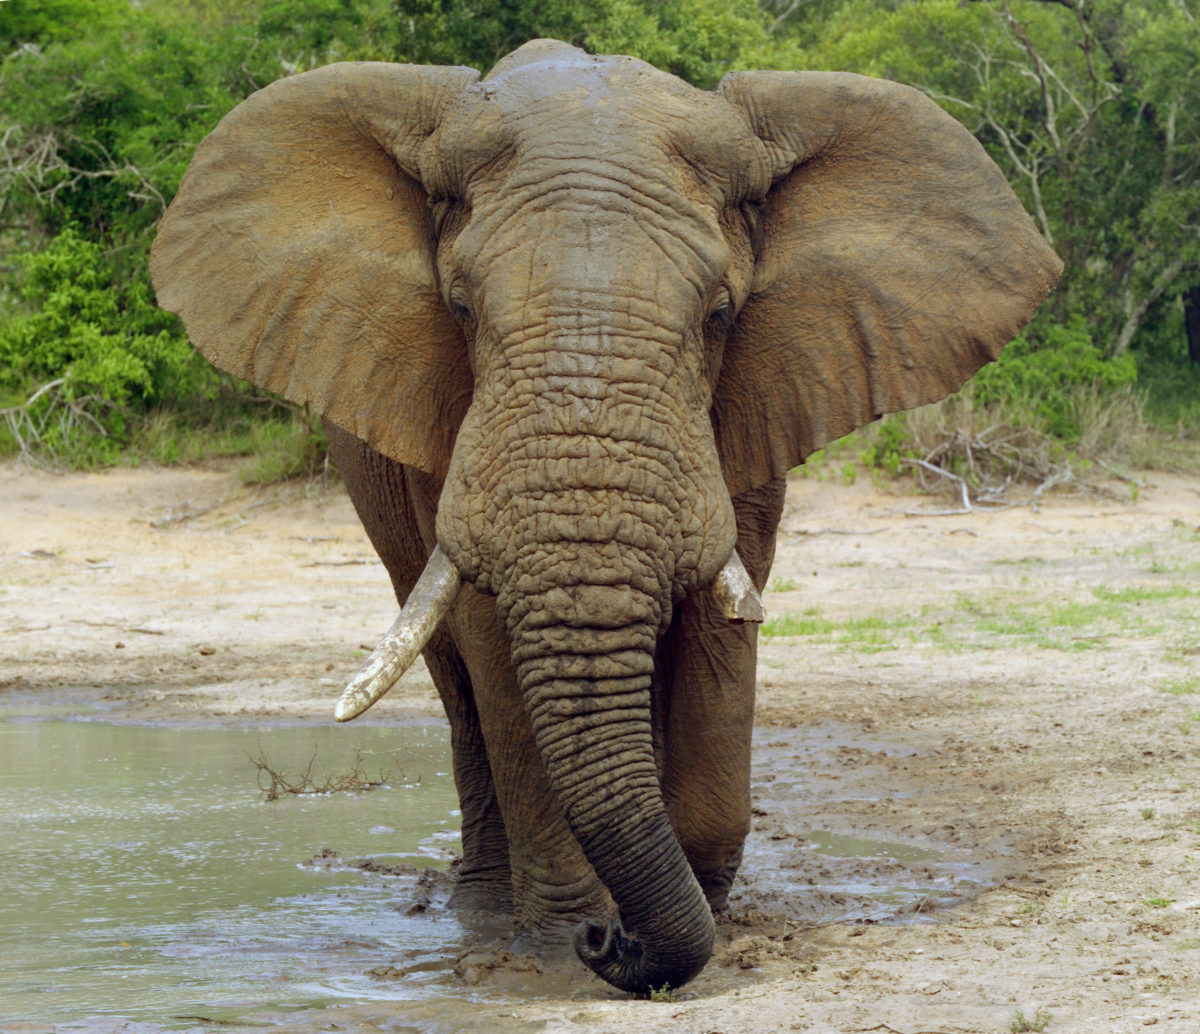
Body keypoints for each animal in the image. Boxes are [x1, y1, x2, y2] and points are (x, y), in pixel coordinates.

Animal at [150, 39, 1060, 994]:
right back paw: (482, 912)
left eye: (720, 314)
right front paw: (565, 944)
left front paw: (695, 913)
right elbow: (498, 648)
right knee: (454, 678)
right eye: (461, 308)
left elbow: (720, 630)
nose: (610, 943)